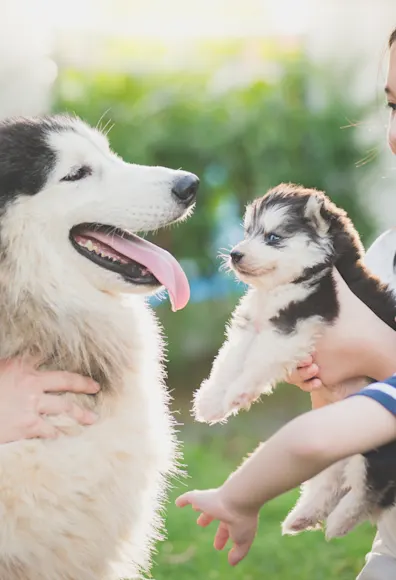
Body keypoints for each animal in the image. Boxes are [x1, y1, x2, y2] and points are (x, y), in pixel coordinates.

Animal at [193, 182, 396, 540]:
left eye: (273, 237)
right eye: (248, 232)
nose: (235, 254)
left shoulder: (294, 322)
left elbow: (256, 362)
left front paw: (238, 392)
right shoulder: (251, 326)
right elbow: (228, 362)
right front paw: (212, 401)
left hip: (376, 435)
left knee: (369, 485)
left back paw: (339, 522)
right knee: (332, 476)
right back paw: (303, 515)